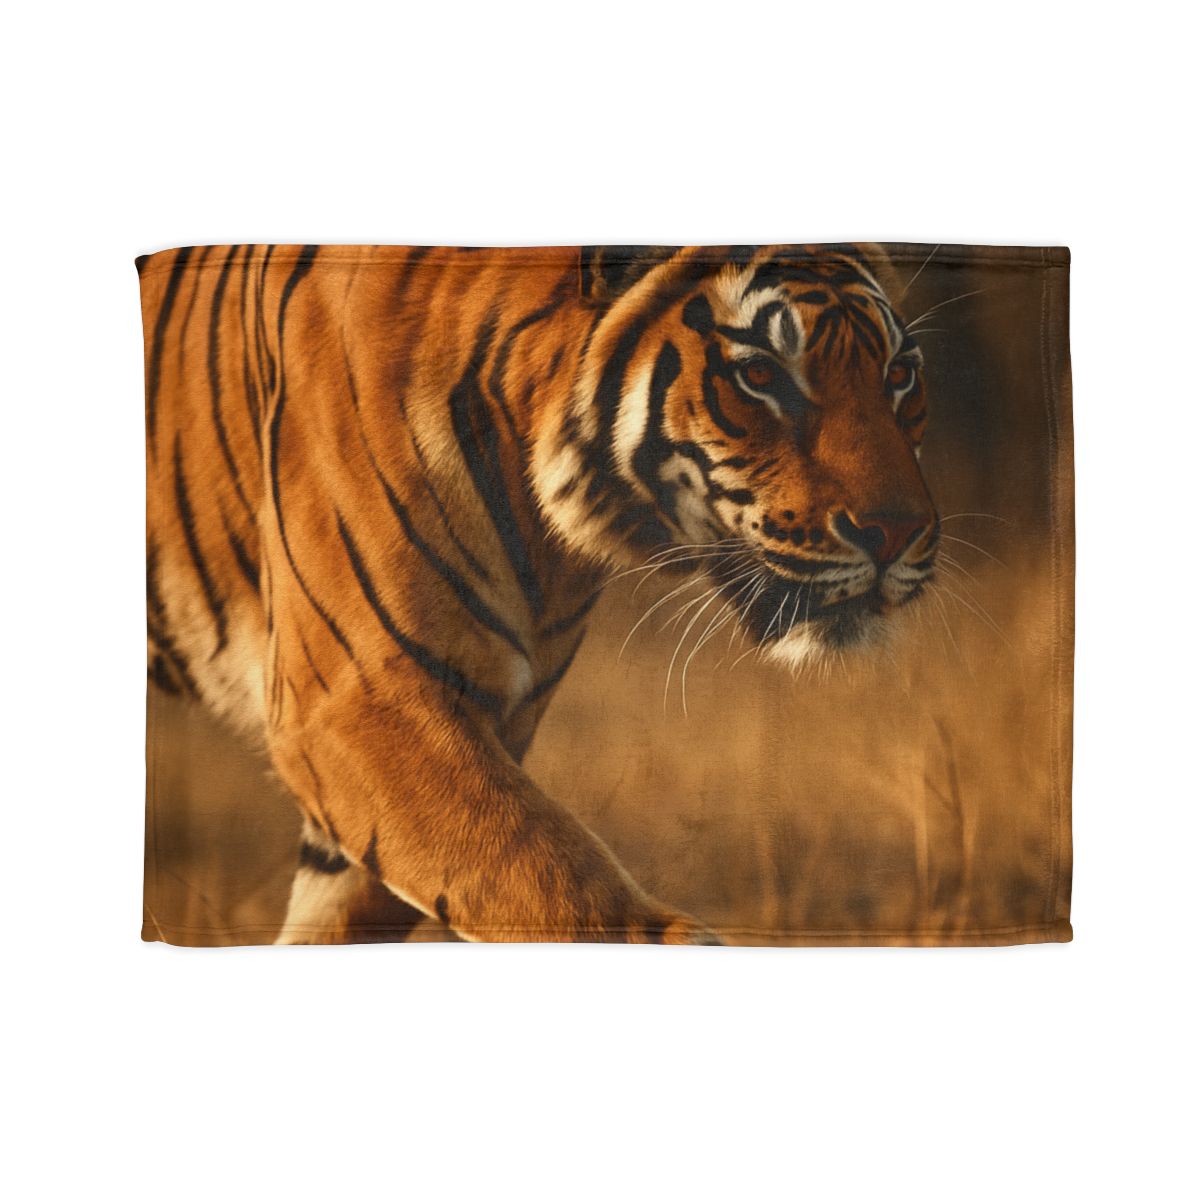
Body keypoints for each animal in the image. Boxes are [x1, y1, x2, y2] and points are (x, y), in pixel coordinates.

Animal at [140, 242, 938, 945]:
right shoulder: (356, 700)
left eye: (899, 373)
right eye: (761, 374)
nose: (900, 533)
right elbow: (556, 884)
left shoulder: (470, 719)